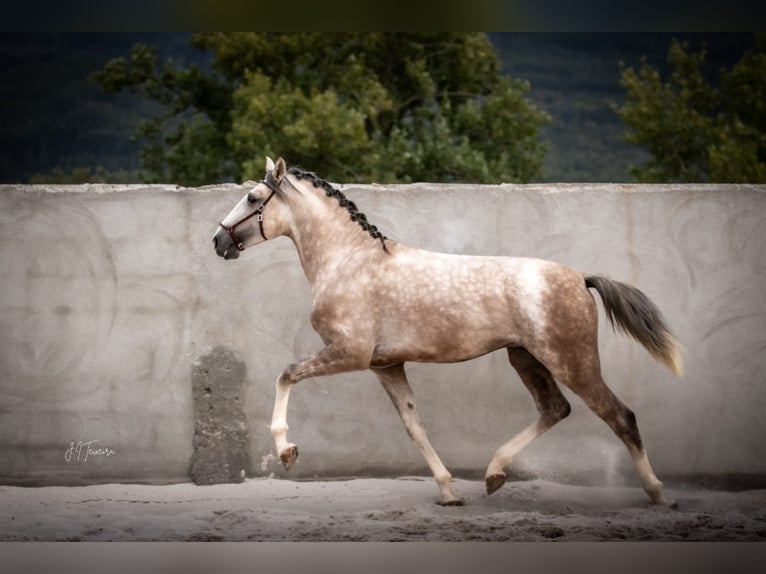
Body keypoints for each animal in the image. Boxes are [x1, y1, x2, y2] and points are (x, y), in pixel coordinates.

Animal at [213, 158, 688, 508]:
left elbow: (286, 374)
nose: (219, 242)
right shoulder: (386, 366)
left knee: (621, 417)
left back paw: (659, 495)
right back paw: (494, 474)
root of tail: (580, 278)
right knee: (555, 409)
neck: (349, 261)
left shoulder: (348, 353)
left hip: (572, 362)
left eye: (253, 197)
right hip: (526, 358)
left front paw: (287, 451)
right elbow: (415, 427)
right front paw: (447, 491)